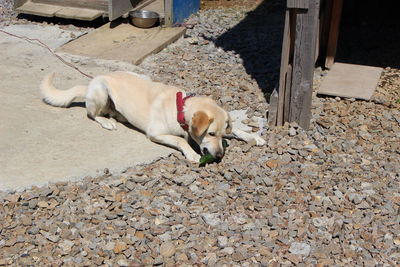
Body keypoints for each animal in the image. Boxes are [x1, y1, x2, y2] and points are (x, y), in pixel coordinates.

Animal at [41, 71, 266, 162]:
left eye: (220, 135)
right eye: (210, 134)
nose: (219, 155)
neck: (180, 108)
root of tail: (90, 83)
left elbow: (237, 128)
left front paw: (254, 136)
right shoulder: (156, 133)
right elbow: (180, 140)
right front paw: (191, 154)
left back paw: (117, 116)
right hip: (101, 91)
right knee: (92, 114)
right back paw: (106, 121)